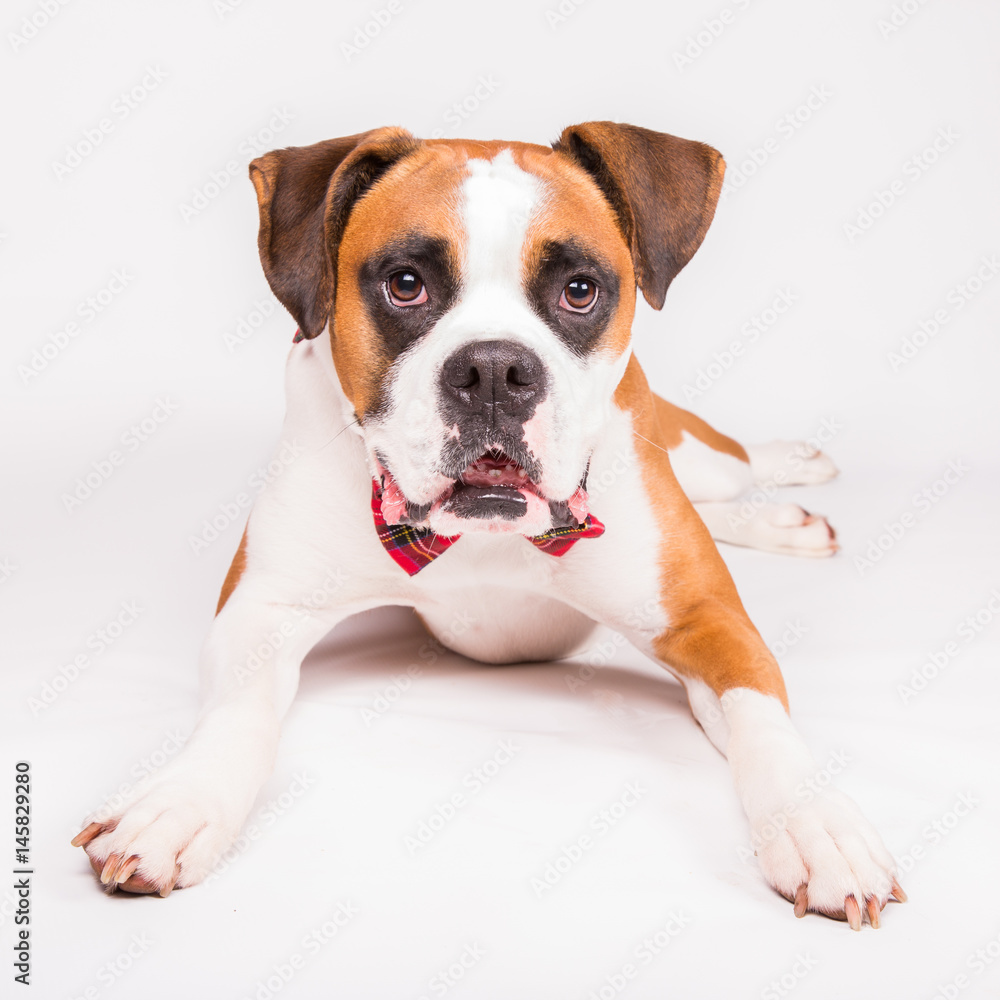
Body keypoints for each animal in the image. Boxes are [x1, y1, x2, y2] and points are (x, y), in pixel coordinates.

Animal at [76, 123, 908, 928]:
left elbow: (764, 721)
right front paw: (178, 802)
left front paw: (819, 828)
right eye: (405, 284)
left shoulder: (709, 623)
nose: (495, 372)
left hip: (692, 453)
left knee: (730, 463)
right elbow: (236, 714)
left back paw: (788, 484)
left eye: (579, 290)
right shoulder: (262, 611)